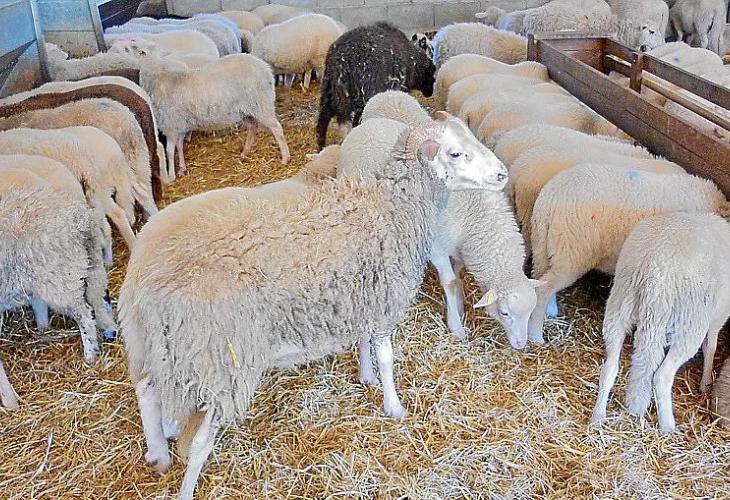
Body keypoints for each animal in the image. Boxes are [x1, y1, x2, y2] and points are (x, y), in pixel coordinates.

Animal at [0, 169, 116, 371]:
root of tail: (82, 220)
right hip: (91, 266)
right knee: (100, 299)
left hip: (62, 281)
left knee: (85, 315)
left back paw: (90, 356)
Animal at [119, 117, 506, 499]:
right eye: (455, 153)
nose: (502, 174)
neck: (389, 206)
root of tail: (148, 280)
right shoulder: (383, 301)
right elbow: (385, 357)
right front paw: (393, 405)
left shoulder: (359, 295)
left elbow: (363, 342)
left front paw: (365, 376)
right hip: (221, 362)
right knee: (197, 442)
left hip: (159, 346)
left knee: (147, 390)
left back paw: (158, 453)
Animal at [135, 52, 290, 181]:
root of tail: (265, 68)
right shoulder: (179, 125)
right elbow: (179, 146)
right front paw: (182, 169)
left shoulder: (172, 125)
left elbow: (170, 150)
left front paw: (171, 175)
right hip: (246, 110)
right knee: (253, 126)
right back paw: (245, 152)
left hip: (261, 104)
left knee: (277, 128)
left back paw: (285, 158)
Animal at [526, 165, 729, 344]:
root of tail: (549, 198)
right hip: (571, 254)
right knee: (543, 289)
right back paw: (536, 335)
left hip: (543, 246)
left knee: (539, 279)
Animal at [591, 212, 730, 433]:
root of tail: (655, 271)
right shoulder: (718, 317)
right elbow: (711, 347)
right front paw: (706, 383)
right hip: (690, 322)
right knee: (662, 377)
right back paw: (668, 427)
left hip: (619, 305)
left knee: (609, 368)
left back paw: (598, 416)